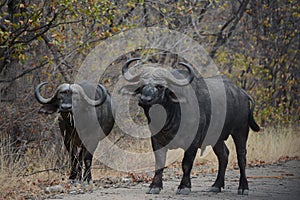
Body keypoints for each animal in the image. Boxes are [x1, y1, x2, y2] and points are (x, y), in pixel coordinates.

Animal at [120, 57, 258, 195]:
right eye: (142, 85)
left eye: (160, 86)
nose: (145, 99)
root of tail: (242, 94)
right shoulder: (156, 140)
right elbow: (159, 163)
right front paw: (154, 186)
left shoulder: (193, 141)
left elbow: (186, 164)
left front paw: (184, 187)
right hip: (217, 138)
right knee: (224, 155)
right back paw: (216, 186)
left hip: (241, 130)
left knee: (241, 157)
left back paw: (243, 187)